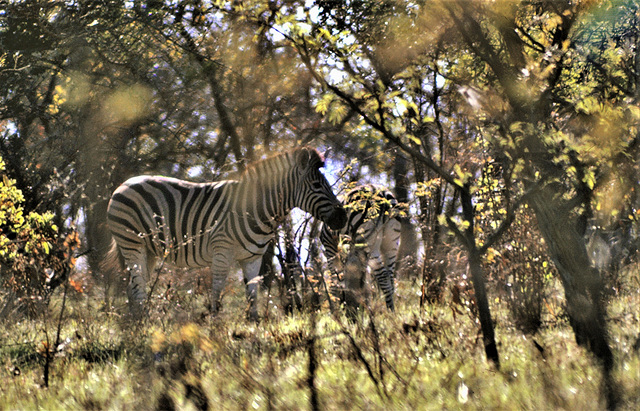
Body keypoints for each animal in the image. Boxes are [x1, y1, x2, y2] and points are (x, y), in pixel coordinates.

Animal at [105, 146, 348, 320]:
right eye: (316, 185)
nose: (343, 217)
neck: (257, 209)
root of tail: (126, 182)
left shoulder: (253, 259)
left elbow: (252, 298)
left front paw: (254, 336)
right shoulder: (221, 252)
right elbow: (217, 297)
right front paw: (216, 333)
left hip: (150, 250)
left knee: (133, 288)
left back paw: (135, 327)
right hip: (132, 243)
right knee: (137, 289)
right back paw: (143, 328)